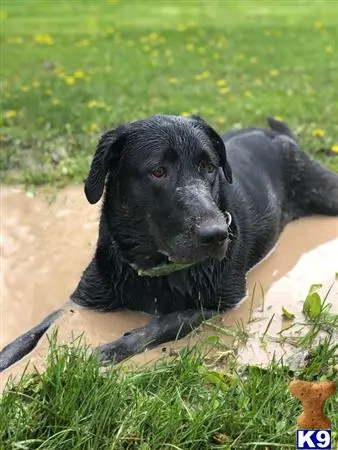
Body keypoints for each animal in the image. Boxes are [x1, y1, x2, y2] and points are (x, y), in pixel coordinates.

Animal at [0, 114, 338, 370]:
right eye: (158, 171)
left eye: (209, 167)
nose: (218, 234)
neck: (152, 268)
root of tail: (279, 136)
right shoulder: (82, 300)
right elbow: (32, 332)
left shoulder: (217, 303)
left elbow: (156, 326)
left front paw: (103, 353)